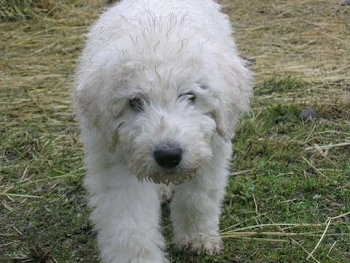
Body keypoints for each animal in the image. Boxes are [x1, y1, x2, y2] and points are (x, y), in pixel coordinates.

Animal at [73, 0, 252, 262]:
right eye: (135, 102)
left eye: (190, 96)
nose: (168, 156)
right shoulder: (113, 160)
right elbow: (128, 222)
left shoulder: (211, 147)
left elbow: (198, 197)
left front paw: (197, 238)